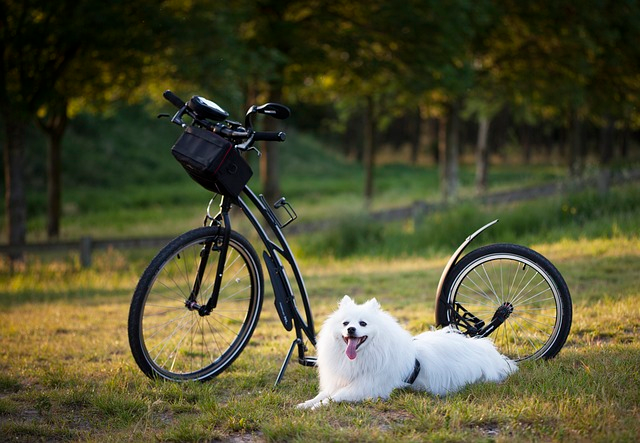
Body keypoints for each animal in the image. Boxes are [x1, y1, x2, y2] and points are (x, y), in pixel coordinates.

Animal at [298, 296, 516, 412]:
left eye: (363, 324)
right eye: (345, 323)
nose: (351, 330)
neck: (364, 355)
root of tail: (491, 351)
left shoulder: (367, 386)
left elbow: (335, 396)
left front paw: (317, 407)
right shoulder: (341, 381)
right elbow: (323, 394)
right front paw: (304, 404)